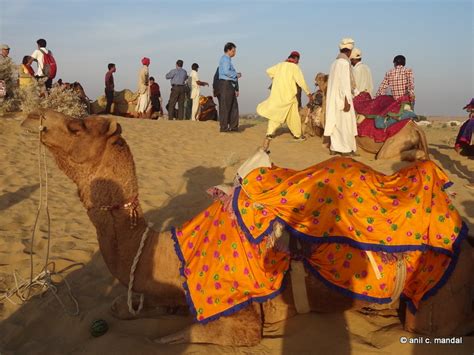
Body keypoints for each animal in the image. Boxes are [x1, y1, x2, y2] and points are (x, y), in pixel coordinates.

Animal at [22, 110, 474, 346]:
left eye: (77, 126)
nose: (37, 116)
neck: (172, 251)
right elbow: (126, 306)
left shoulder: (238, 319)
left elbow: (181, 337)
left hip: (433, 301)